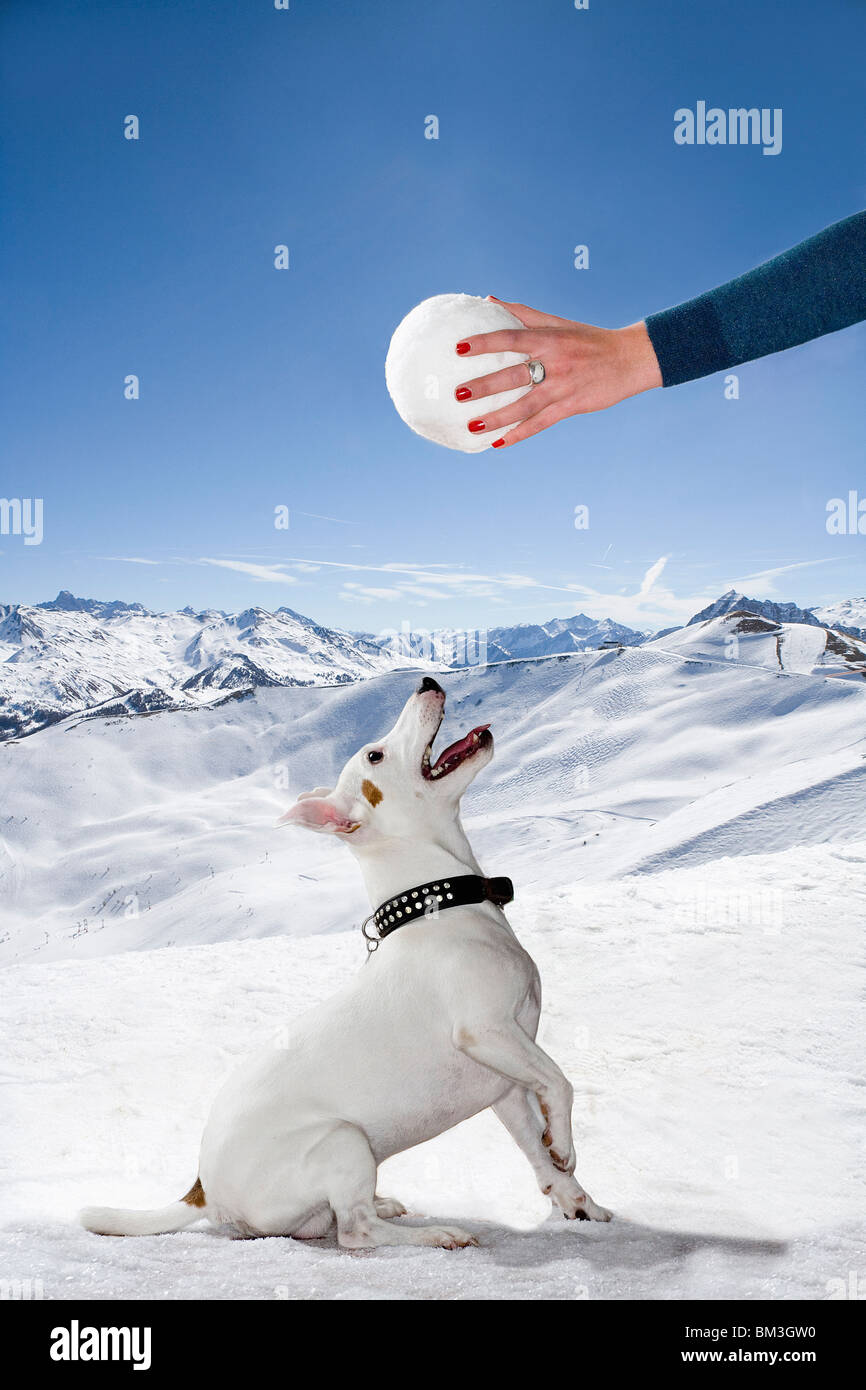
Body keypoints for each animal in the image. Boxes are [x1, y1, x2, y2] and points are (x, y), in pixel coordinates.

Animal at [81, 681, 608, 1251]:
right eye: (374, 755)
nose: (425, 683)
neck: (441, 905)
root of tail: (203, 1192)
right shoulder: (487, 1032)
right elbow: (561, 1081)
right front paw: (566, 1145)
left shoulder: (505, 1084)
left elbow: (540, 1155)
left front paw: (579, 1200)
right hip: (344, 1140)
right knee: (356, 1232)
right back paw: (436, 1233)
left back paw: (388, 1202)